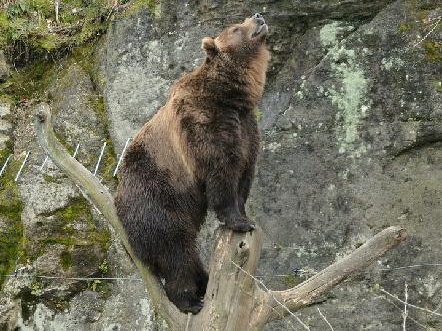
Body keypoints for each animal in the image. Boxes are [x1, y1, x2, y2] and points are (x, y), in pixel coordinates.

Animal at [114, 12, 270, 314]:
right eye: (236, 27)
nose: (258, 16)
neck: (230, 97)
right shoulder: (203, 124)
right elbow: (221, 173)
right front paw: (238, 222)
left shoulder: (246, 128)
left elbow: (245, 172)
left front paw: (246, 216)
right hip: (157, 199)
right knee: (176, 250)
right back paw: (190, 300)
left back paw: (204, 280)